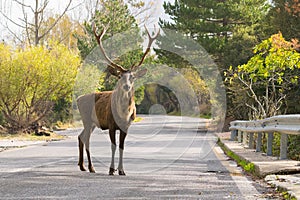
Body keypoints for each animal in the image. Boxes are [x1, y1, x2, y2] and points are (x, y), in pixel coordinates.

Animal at [76, 24, 159, 176]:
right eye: (120, 76)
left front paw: (121, 170)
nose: (126, 86)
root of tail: (78, 99)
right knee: (86, 139)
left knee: (81, 137)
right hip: (87, 119)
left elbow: (121, 147)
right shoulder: (111, 124)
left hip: (92, 123)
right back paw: (91, 167)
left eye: (132, 77)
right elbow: (113, 147)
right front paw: (111, 169)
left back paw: (82, 166)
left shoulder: (126, 126)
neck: (124, 113)